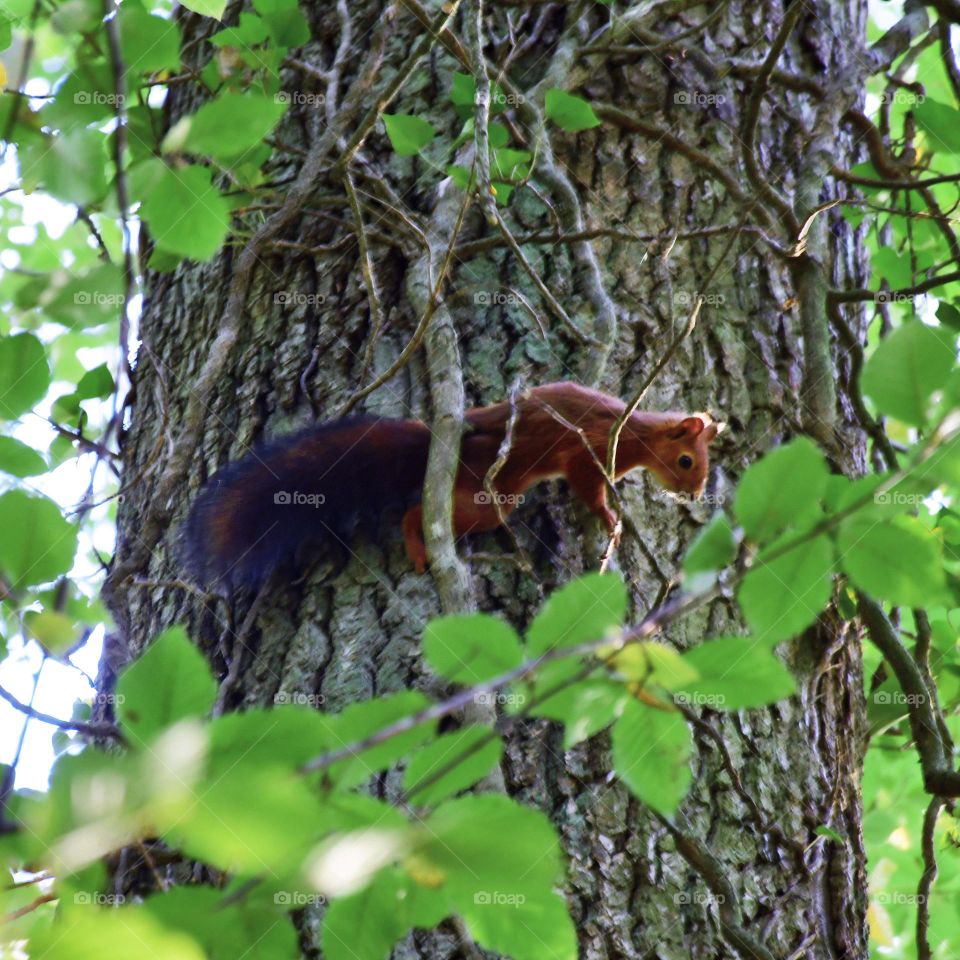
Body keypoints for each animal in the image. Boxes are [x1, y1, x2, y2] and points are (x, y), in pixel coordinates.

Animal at [182, 381, 719, 587]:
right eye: (687, 461)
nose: (694, 495)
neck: (636, 434)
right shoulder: (589, 450)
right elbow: (588, 486)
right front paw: (610, 518)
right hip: (489, 497)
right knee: (417, 513)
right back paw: (418, 545)